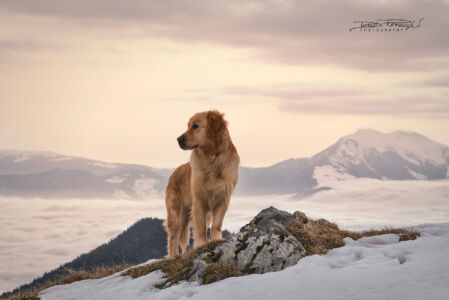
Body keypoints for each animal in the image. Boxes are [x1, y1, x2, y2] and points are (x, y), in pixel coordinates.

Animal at [164, 110, 238, 258]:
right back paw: (173, 256)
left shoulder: (223, 198)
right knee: (173, 237)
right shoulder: (199, 201)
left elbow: (216, 224)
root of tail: (173, 174)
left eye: (195, 126)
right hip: (176, 213)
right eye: (188, 126)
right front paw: (201, 244)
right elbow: (200, 227)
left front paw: (215, 239)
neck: (212, 159)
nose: (179, 139)